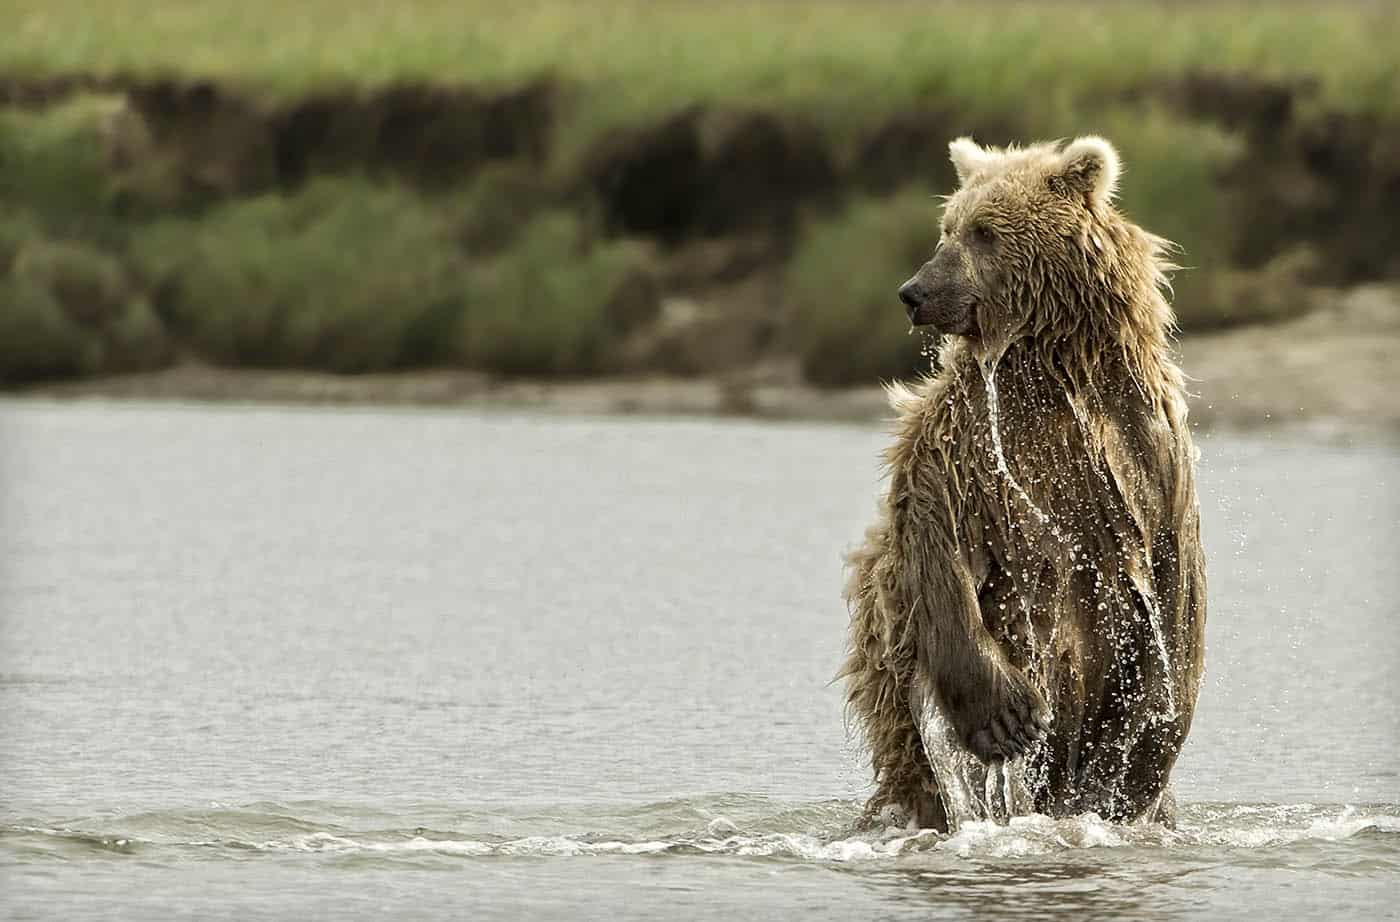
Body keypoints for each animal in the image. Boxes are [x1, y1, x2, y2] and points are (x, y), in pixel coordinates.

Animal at [834, 139, 1209, 839]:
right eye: (948, 227)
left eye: (984, 231)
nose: (914, 292)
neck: (1042, 365)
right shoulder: (961, 444)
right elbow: (938, 540)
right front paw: (1005, 719)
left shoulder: (1145, 453)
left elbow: (1171, 600)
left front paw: (1132, 762)